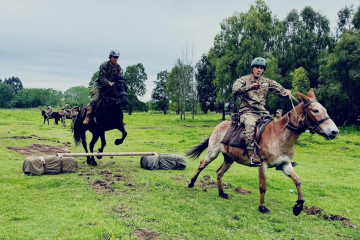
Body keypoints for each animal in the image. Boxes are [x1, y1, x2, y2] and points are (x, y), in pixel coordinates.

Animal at [187, 88, 338, 216]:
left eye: (325, 110)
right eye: (315, 110)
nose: (334, 132)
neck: (280, 135)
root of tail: (218, 126)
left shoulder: (285, 164)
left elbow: (298, 181)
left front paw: (298, 206)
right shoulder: (263, 164)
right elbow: (263, 186)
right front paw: (262, 207)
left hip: (229, 159)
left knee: (219, 172)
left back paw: (221, 193)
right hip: (212, 153)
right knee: (201, 165)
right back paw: (191, 183)